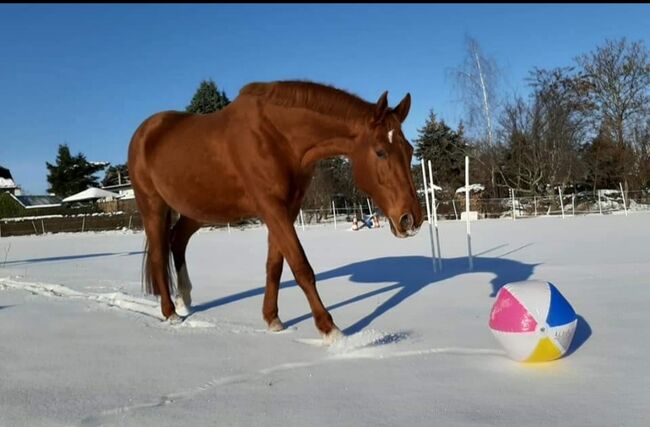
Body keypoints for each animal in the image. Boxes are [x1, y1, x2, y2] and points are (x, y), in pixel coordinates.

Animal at [128, 81, 422, 344]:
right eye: (381, 152)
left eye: (409, 150)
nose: (411, 219)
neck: (275, 136)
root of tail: (144, 132)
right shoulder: (272, 208)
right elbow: (301, 266)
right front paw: (330, 330)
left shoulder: (286, 210)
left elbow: (275, 265)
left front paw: (273, 320)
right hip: (153, 207)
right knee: (159, 255)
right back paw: (171, 313)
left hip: (198, 211)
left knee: (177, 240)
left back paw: (185, 299)